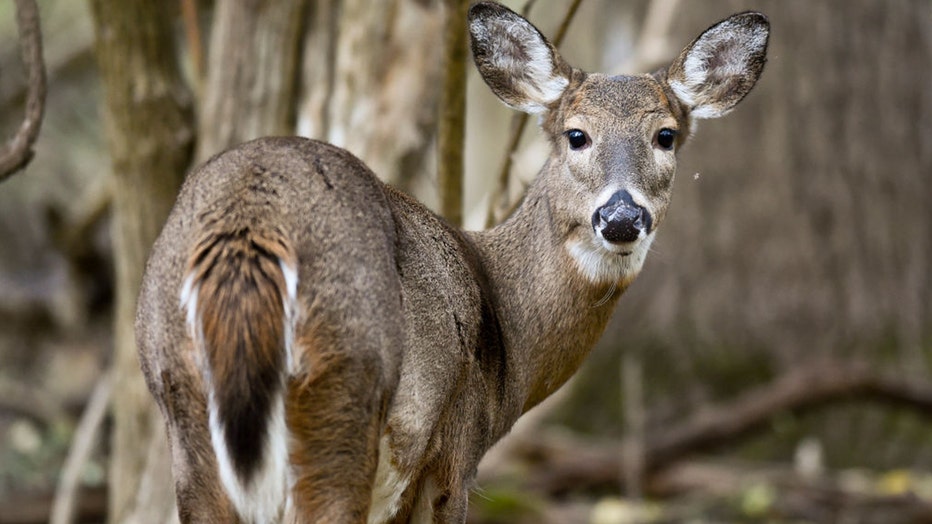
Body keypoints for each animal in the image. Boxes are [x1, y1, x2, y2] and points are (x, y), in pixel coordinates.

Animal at [135, 2, 769, 522]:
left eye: (666, 136)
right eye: (576, 135)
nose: (620, 218)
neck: (507, 329)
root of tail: (252, 224)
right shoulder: (453, 456)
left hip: (182, 406)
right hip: (343, 390)